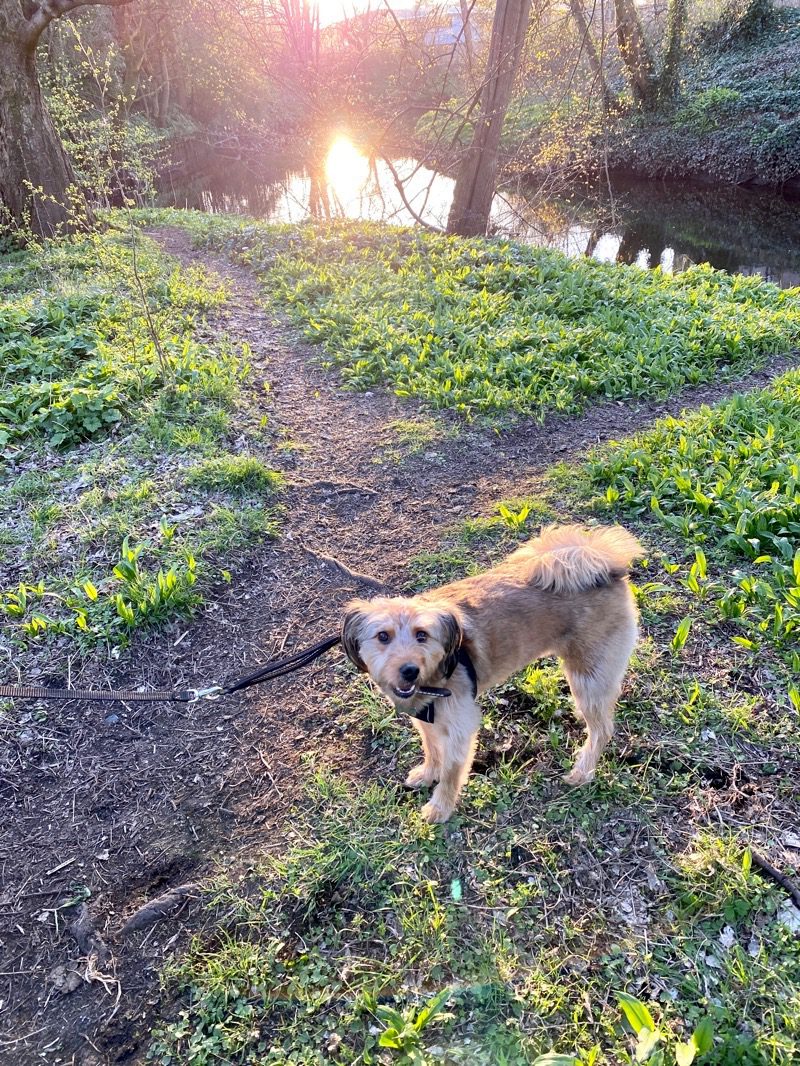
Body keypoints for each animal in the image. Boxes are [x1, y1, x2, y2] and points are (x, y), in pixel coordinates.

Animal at [343, 524, 644, 822]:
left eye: (422, 635)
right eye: (383, 636)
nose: (409, 670)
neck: (438, 670)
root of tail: (606, 564)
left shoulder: (460, 726)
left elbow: (451, 771)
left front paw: (440, 807)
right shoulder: (427, 717)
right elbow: (431, 749)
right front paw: (428, 774)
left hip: (587, 676)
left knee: (603, 729)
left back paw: (583, 770)